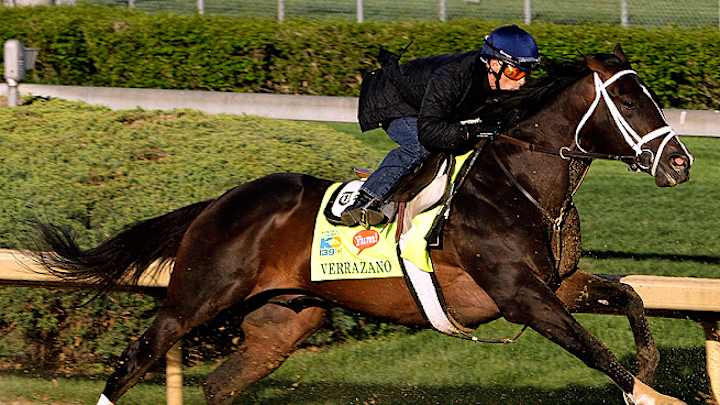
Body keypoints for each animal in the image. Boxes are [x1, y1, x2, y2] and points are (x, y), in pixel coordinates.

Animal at [34, 45, 693, 405]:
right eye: (629, 103)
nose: (681, 163)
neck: (520, 185)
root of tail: (218, 202)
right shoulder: (519, 296)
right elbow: (592, 349)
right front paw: (650, 393)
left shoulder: (555, 285)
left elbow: (632, 300)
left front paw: (648, 370)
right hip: (196, 297)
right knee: (135, 358)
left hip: (287, 318)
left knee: (220, 384)